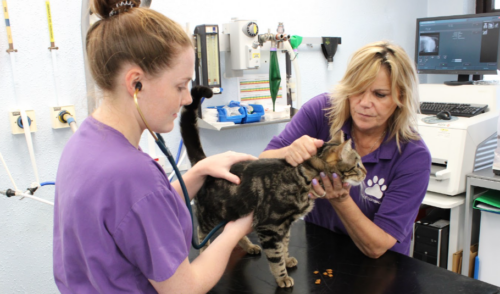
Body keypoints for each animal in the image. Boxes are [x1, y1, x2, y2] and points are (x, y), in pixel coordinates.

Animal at [180, 85, 368, 288]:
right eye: (357, 164)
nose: (366, 172)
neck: (304, 176)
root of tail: (206, 162)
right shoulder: (270, 227)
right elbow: (276, 256)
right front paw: (282, 277)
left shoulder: (285, 226)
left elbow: (284, 247)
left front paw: (287, 260)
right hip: (210, 215)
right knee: (201, 234)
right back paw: (205, 251)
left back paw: (249, 246)